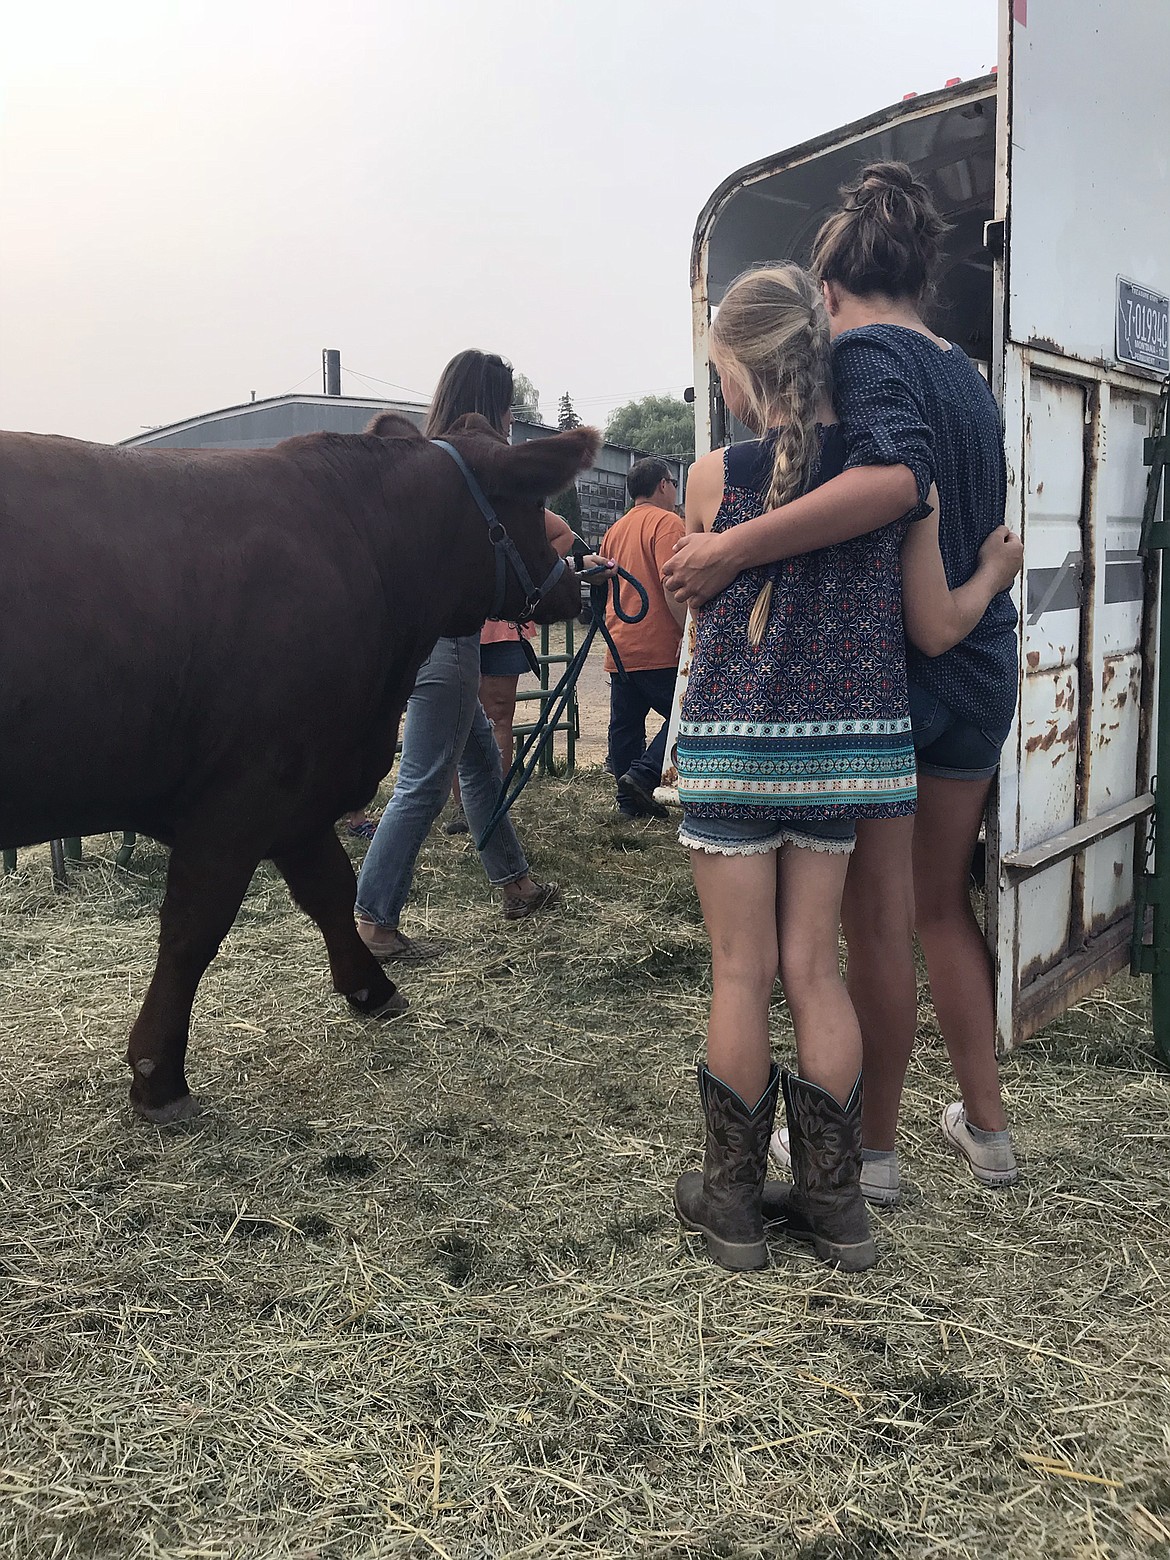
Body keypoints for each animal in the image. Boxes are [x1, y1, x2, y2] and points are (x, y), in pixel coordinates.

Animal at [0, 414, 599, 1123]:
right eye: (534, 506)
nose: (576, 582)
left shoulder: (300, 792)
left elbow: (331, 889)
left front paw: (372, 987)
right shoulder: (243, 796)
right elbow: (191, 931)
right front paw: (158, 1075)